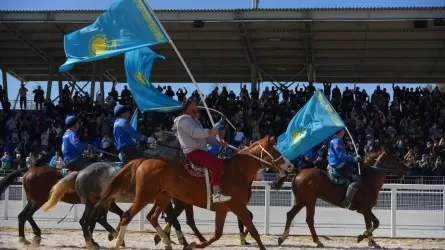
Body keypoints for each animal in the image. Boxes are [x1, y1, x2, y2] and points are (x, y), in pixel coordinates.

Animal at [95, 136, 294, 249]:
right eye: (275, 151)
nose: (291, 166)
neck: (237, 172)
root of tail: (144, 160)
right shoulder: (238, 207)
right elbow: (253, 230)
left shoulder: (223, 210)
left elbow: (217, 234)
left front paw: (195, 244)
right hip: (144, 195)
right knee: (127, 215)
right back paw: (118, 243)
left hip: (162, 196)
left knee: (152, 217)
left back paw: (167, 242)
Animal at [276, 146, 408, 248]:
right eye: (395, 157)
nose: (407, 168)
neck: (369, 179)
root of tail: (299, 172)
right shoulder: (364, 209)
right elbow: (375, 223)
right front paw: (362, 237)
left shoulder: (366, 210)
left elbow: (369, 224)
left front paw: (372, 242)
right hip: (309, 201)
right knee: (309, 219)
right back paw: (317, 241)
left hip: (301, 201)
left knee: (290, 215)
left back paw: (282, 238)